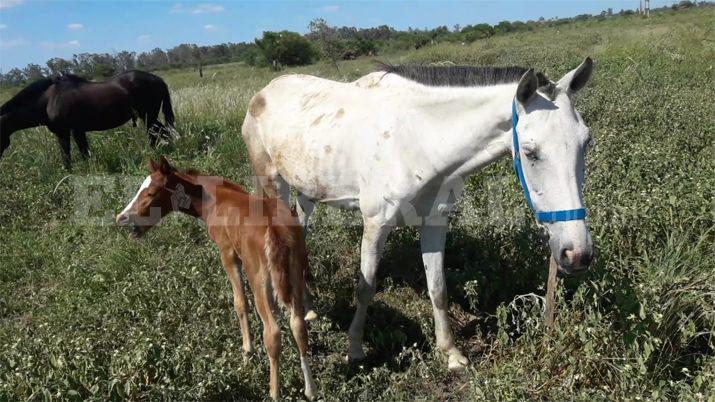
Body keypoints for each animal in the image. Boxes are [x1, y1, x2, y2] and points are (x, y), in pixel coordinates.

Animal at [0, 70, 175, 169]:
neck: (49, 99)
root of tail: (158, 79)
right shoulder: (71, 133)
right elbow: (75, 155)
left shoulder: (69, 132)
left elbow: (73, 156)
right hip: (149, 117)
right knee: (163, 133)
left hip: (148, 117)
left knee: (156, 135)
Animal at [115, 157, 317, 400]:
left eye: (151, 193)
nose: (121, 217)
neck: (217, 199)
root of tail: (275, 231)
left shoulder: (227, 253)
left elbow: (240, 302)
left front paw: (247, 351)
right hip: (295, 273)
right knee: (298, 325)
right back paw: (310, 390)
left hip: (258, 277)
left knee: (273, 333)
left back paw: (274, 392)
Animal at [241, 57, 595, 371]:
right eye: (531, 152)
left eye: (586, 142)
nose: (577, 254)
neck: (416, 139)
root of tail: (264, 92)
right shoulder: (376, 224)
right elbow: (366, 287)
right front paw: (355, 349)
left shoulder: (436, 222)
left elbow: (437, 287)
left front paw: (451, 353)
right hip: (273, 183)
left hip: (307, 190)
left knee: (299, 235)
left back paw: (310, 308)